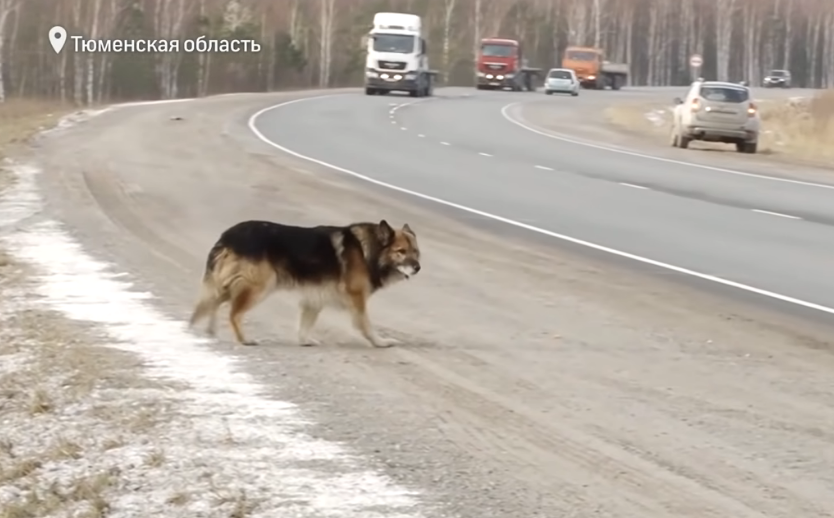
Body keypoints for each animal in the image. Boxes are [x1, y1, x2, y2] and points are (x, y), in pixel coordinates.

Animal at [189, 219, 422, 350]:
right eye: (401, 251)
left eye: (415, 252)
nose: (418, 268)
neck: (369, 250)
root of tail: (228, 236)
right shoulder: (357, 299)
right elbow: (366, 325)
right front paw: (379, 342)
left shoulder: (315, 297)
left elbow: (306, 322)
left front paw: (305, 340)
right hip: (260, 286)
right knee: (233, 313)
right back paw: (243, 339)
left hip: (232, 284)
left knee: (215, 303)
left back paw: (210, 331)